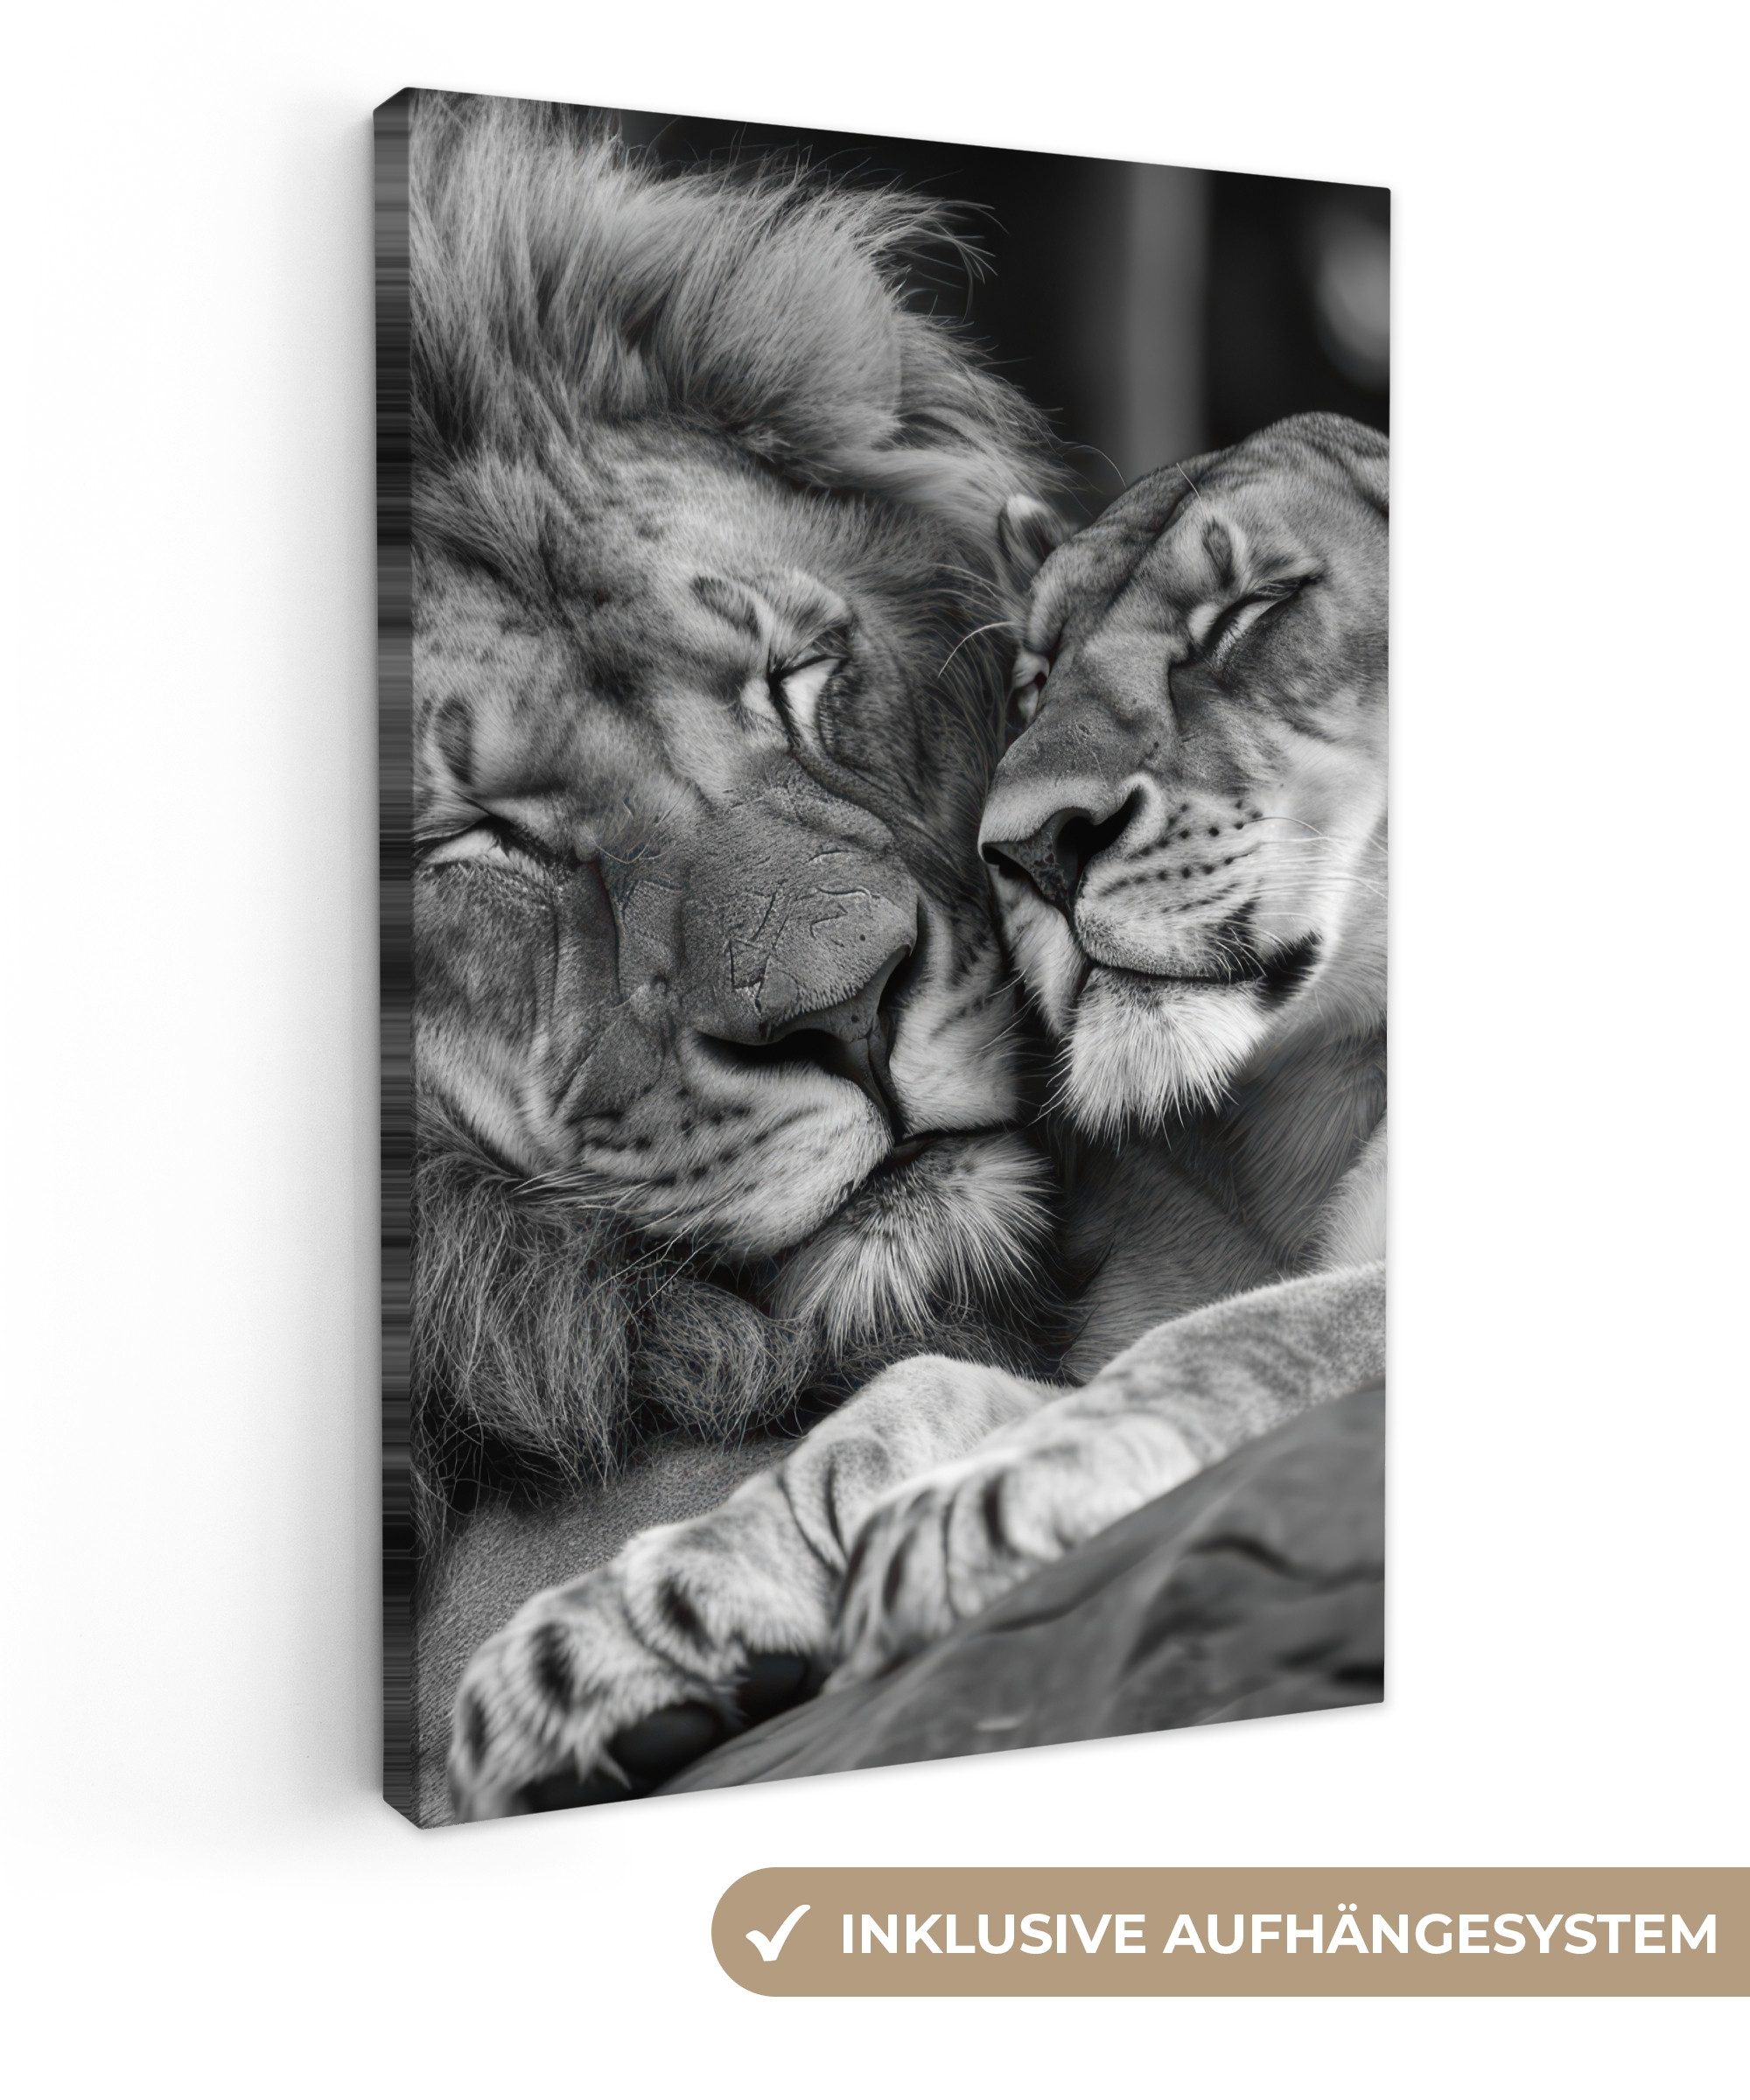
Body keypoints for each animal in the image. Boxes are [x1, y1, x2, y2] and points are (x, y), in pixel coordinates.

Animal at [447, 412, 1387, 1817]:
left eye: (1250, 612)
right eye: (1033, 681)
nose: (1030, 852)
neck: (1302, 1110)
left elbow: (1266, 1327)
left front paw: (995, 1500)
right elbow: (905, 1396)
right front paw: (621, 1623)